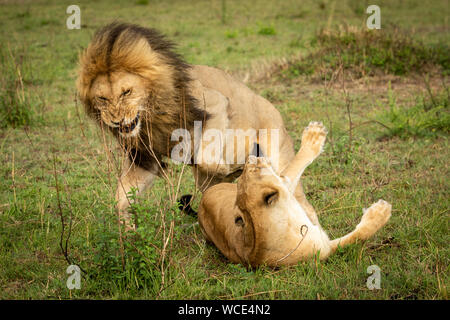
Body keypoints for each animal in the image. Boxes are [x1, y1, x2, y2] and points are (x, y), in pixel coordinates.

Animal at [76, 23, 316, 230]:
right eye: (102, 99)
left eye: (126, 92)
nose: (116, 120)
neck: (151, 116)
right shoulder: (145, 158)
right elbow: (121, 198)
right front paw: (128, 232)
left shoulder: (216, 103)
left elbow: (205, 157)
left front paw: (225, 168)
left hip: (277, 151)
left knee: (299, 197)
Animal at [199, 121, 392, 266]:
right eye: (256, 169)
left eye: (248, 171)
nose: (252, 157)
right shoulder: (324, 248)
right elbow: (358, 235)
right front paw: (381, 212)